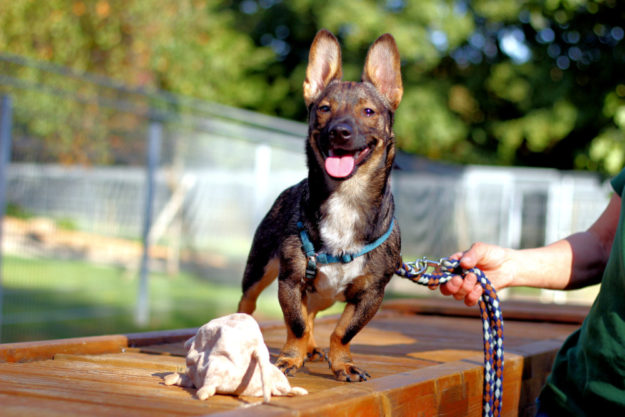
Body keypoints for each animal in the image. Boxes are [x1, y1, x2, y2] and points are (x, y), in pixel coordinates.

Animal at [236, 28, 402, 380]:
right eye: (324, 108)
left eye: (369, 112)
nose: (340, 131)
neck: (346, 196)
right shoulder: (290, 281)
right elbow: (295, 324)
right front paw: (289, 358)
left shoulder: (371, 294)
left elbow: (342, 332)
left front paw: (343, 364)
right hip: (258, 269)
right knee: (248, 304)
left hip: (322, 294)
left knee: (312, 312)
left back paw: (313, 349)